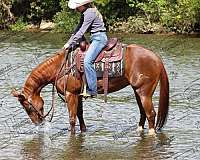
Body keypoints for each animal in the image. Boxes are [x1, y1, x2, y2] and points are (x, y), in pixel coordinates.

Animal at [11, 43, 169, 135]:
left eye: (28, 107)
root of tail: (157, 58)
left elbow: (72, 118)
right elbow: (80, 114)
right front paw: (84, 131)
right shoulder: (78, 94)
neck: (60, 68)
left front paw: (72, 135)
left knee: (151, 114)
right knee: (143, 112)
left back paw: (151, 133)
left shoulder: (70, 94)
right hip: (137, 91)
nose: (38, 124)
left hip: (144, 93)